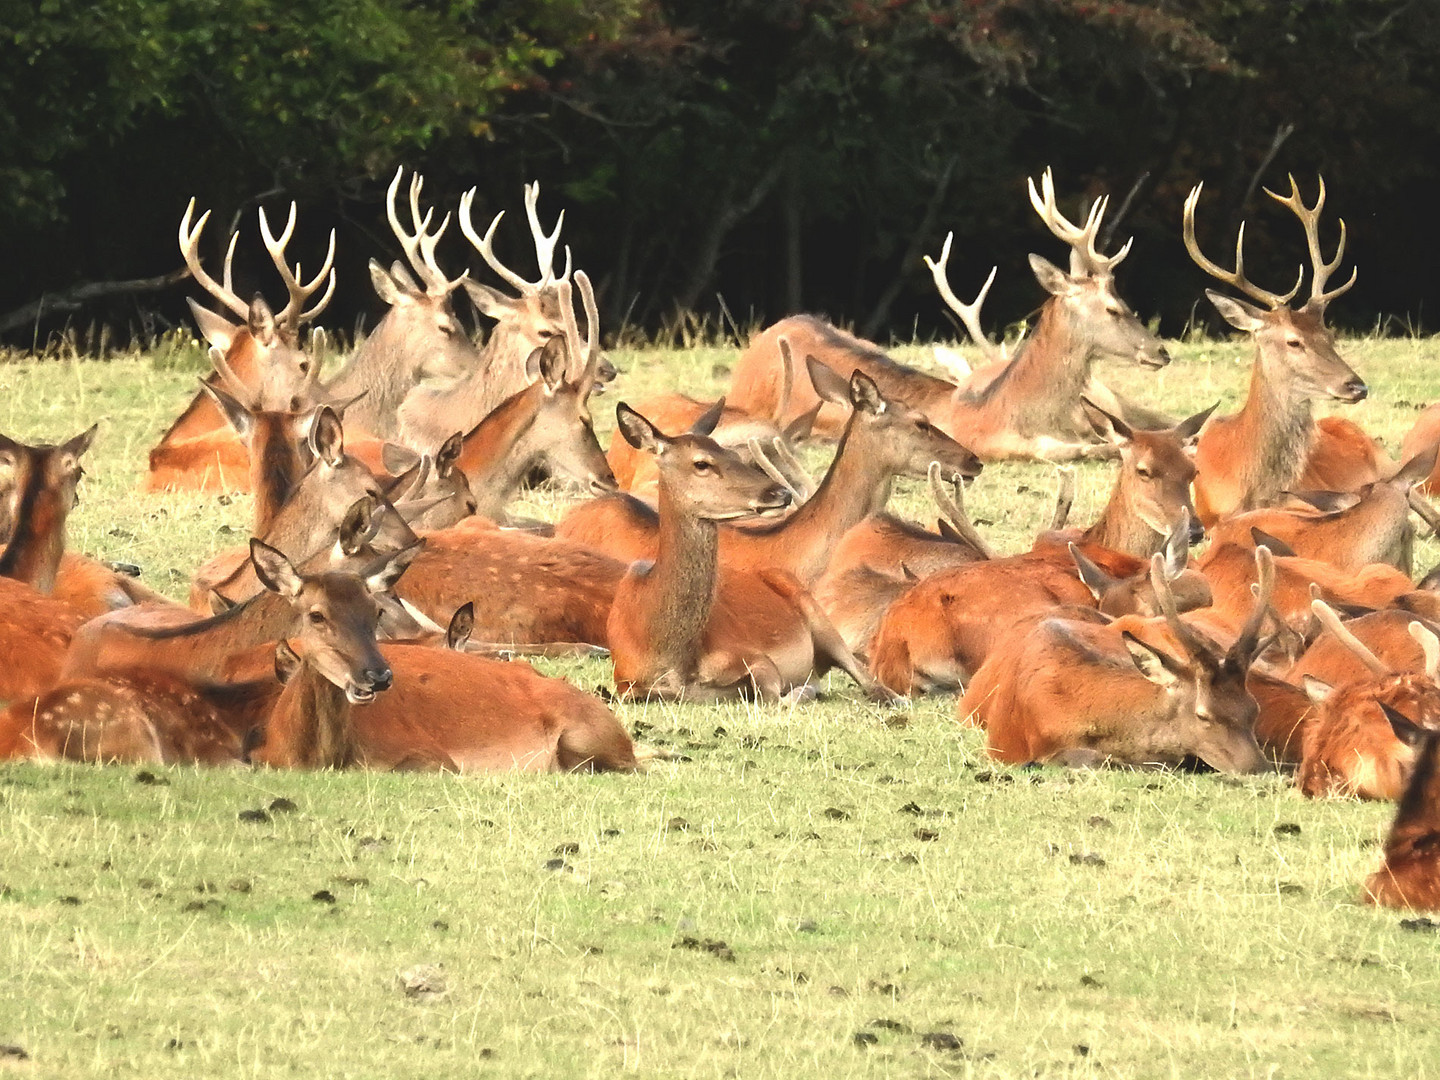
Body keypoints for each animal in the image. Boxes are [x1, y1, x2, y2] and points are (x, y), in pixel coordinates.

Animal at [601, 403, 881, 702]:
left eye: (733, 454)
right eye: (701, 463)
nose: (780, 492)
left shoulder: (753, 656)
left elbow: (772, 695)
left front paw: (798, 691)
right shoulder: (625, 682)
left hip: (815, 611)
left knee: (867, 677)